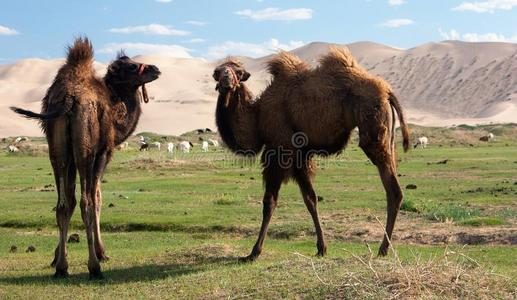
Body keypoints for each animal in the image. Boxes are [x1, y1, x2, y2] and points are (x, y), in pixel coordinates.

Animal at [12, 38, 161, 278]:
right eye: (131, 66)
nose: (155, 69)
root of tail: (69, 100)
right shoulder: (104, 152)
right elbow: (97, 198)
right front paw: (102, 253)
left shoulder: (70, 159)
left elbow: (69, 201)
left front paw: (56, 257)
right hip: (85, 149)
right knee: (86, 202)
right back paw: (94, 267)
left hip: (57, 150)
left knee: (63, 203)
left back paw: (62, 268)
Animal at [212, 46, 410, 260]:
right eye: (218, 71)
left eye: (238, 72)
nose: (226, 79)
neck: (257, 118)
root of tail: (387, 91)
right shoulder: (300, 156)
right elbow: (310, 199)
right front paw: (321, 247)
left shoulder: (279, 149)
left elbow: (269, 202)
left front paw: (254, 252)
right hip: (387, 139)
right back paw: (384, 247)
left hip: (373, 135)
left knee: (393, 191)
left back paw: (383, 248)